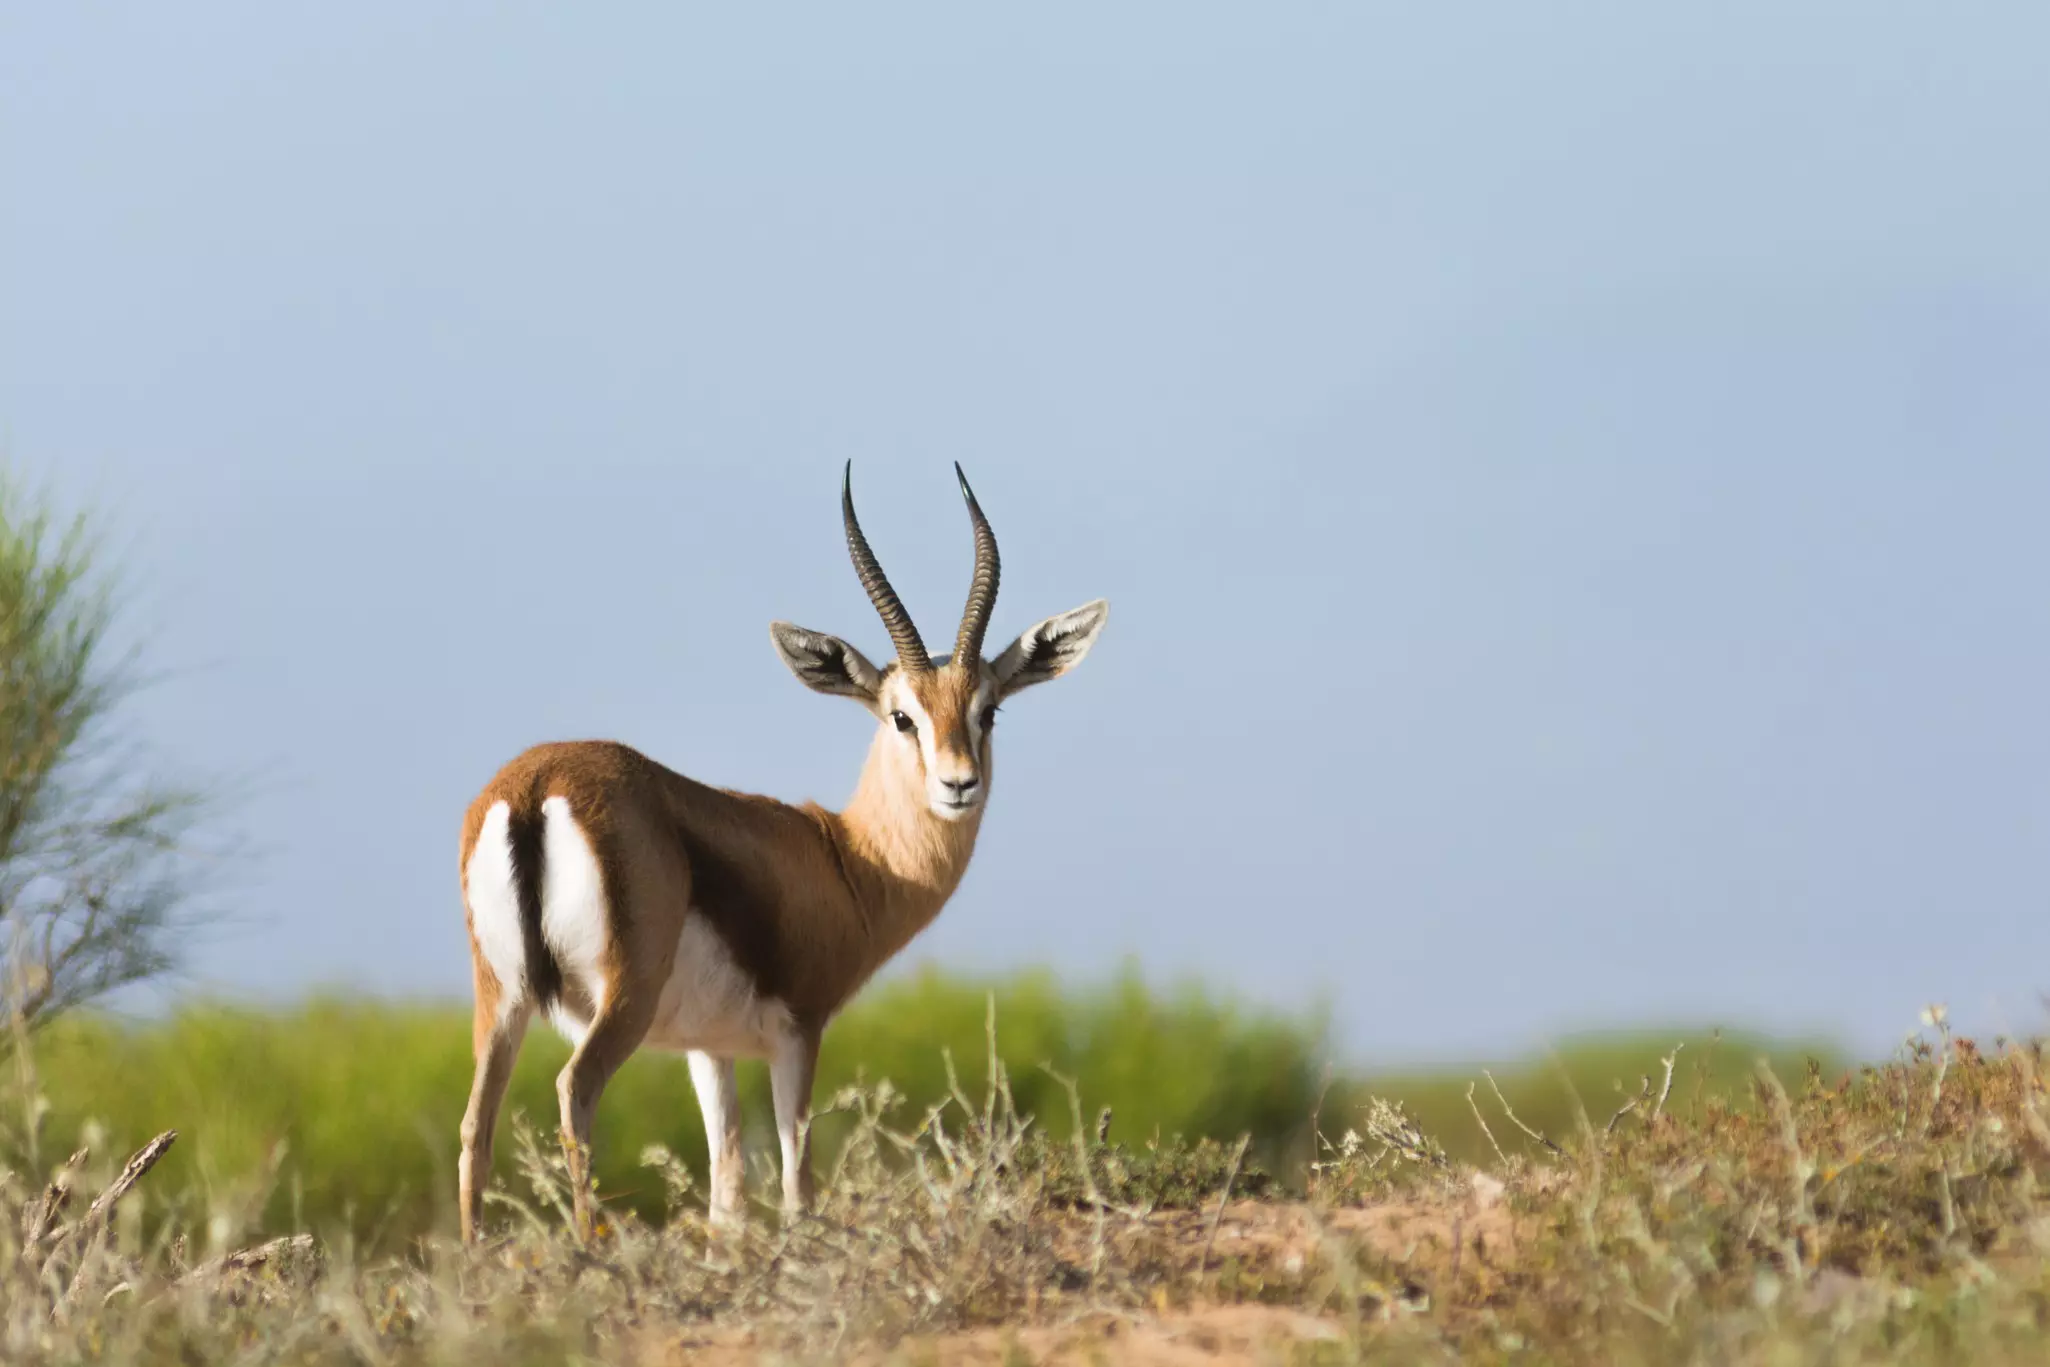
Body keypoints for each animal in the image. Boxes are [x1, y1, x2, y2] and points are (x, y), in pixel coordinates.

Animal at [455, 464, 1109, 1241]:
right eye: (902, 716)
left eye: (989, 710)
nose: (958, 784)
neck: (846, 859)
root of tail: (533, 789)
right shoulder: (800, 1029)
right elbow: (798, 1185)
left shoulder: (710, 1048)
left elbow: (727, 1190)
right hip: (622, 1001)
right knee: (574, 1089)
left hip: (500, 1000)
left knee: (475, 1127)